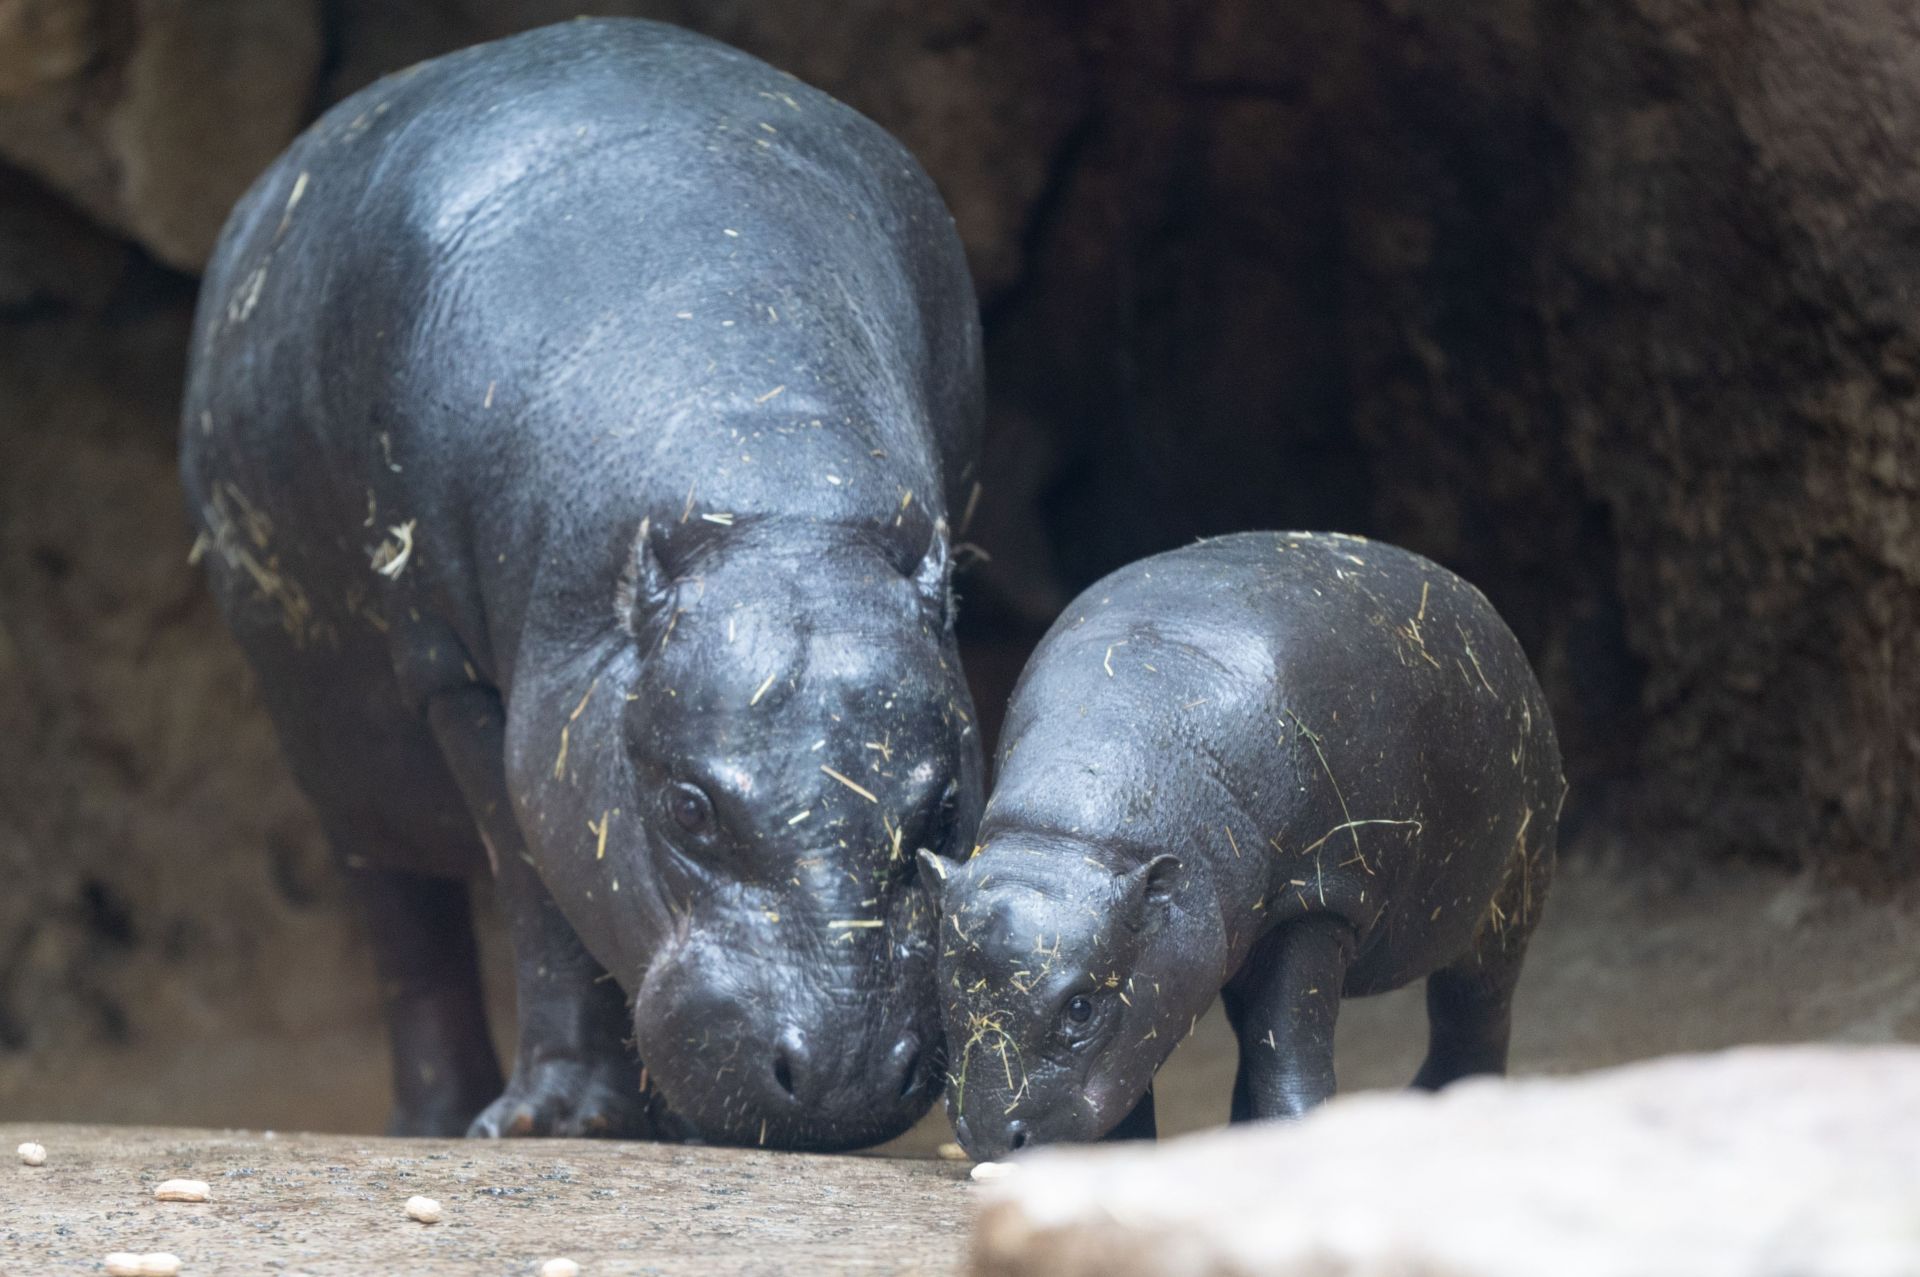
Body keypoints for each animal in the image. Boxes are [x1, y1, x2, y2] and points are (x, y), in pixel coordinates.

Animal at [181, 17, 983, 1152]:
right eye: (689, 806)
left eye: (946, 801)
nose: (847, 1069)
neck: (771, 511)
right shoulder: (459, 679)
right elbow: (534, 892)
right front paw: (550, 1119)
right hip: (335, 746)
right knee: (404, 921)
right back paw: (436, 1118)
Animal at [921, 526, 1566, 1152]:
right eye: (943, 989)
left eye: (1080, 1007)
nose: (989, 1135)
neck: (1068, 838)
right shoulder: (1163, 962)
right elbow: (1153, 1067)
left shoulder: (1316, 902)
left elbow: (1288, 1046)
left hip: (1512, 893)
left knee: (1472, 1006)